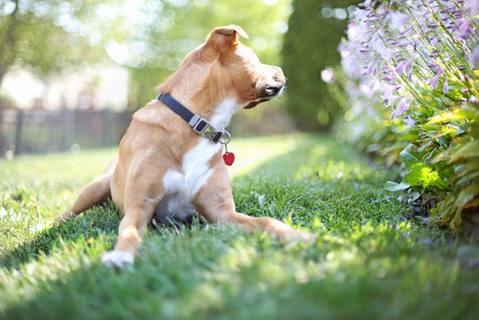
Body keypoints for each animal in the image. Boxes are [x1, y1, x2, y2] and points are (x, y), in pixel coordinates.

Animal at [59, 25, 316, 266]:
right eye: (253, 56)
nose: (281, 71)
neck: (195, 125)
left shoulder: (221, 211)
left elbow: (266, 221)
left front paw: (298, 236)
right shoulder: (140, 206)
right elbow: (130, 231)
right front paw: (121, 254)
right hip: (95, 187)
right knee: (67, 214)